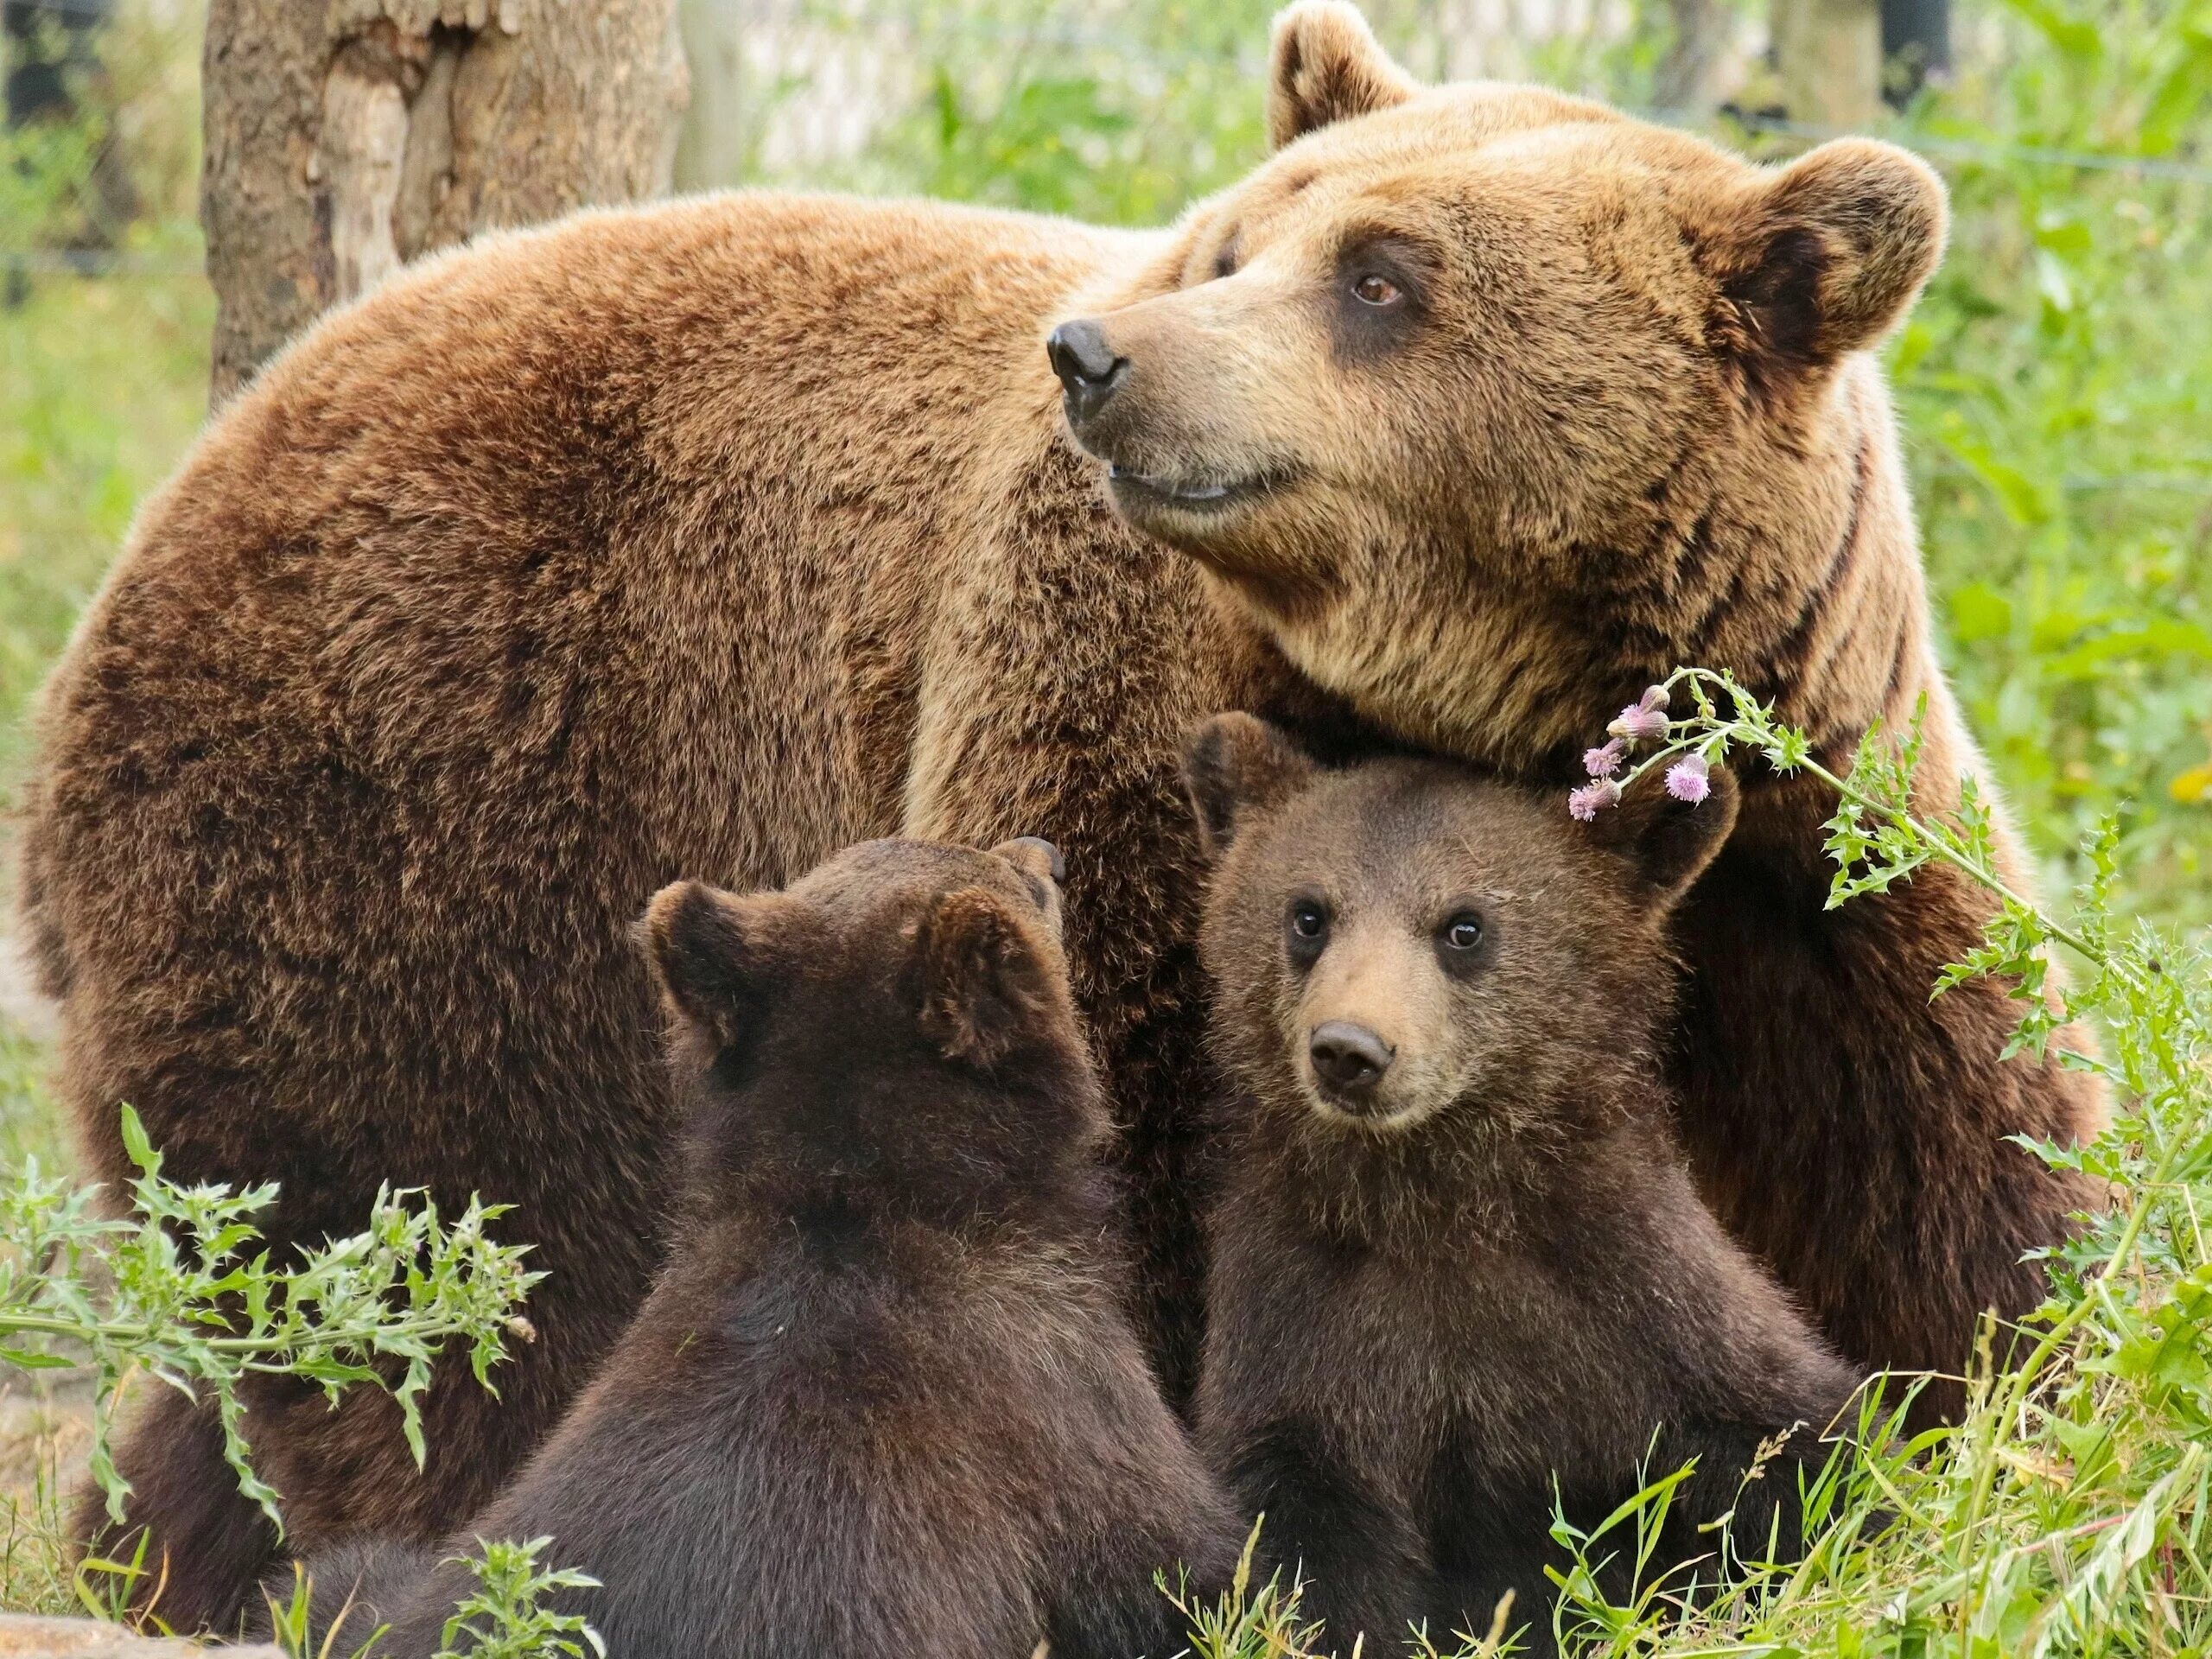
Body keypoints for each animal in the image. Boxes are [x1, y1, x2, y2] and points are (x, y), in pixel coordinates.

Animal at [21, 0, 2088, 1637]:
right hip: (421, 845)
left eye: (1383, 275)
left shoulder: (1805, 825)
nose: (1100, 354)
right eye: (1242, 238)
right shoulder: (1131, 711)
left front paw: (1982, 1437)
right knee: (437, 1289)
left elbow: (1952, 1182)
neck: (1518, 697)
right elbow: (1146, 1158)